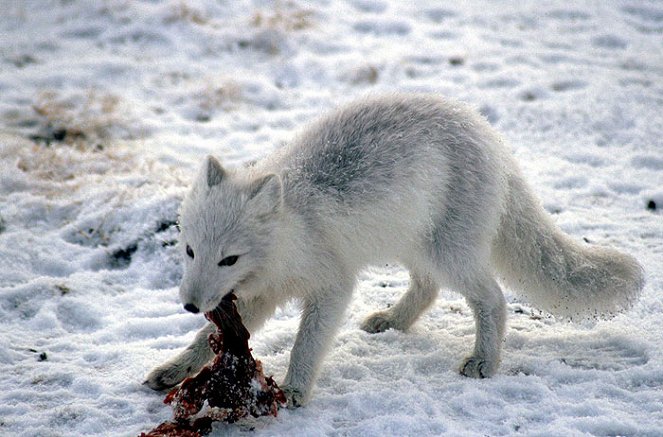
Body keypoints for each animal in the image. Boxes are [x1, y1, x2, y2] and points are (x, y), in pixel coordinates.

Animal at [144, 93, 644, 404]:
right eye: (189, 251)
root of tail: (488, 134)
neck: (293, 230)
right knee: (427, 288)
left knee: (493, 299)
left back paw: (484, 359)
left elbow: (308, 343)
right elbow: (205, 341)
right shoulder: (258, 295)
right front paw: (174, 369)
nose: (190, 304)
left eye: (229, 258)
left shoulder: (332, 285)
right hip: (412, 244)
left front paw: (295, 390)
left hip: (449, 253)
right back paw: (393, 321)